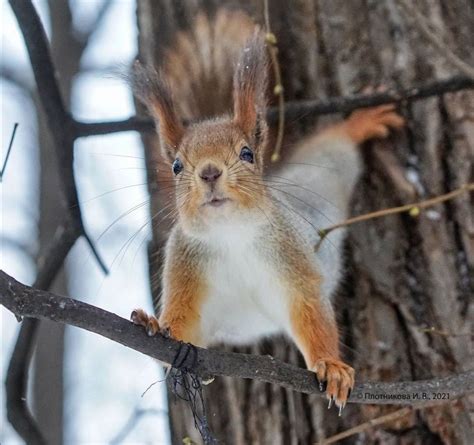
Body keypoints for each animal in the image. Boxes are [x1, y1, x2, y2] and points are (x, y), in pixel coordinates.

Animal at [130, 9, 404, 412]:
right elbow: (180, 328)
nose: (209, 172)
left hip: (319, 181)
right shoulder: (184, 268)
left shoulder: (290, 256)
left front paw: (332, 366)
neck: (229, 235)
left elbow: (311, 311)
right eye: (177, 166)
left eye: (246, 153)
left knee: (334, 151)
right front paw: (154, 325)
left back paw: (359, 123)